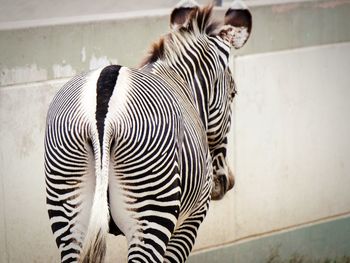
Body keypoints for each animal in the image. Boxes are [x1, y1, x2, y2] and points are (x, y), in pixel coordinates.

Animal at [44, 1, 252, 262]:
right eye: (233, 94)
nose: (228, 182)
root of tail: (104, 101)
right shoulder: (190, 221)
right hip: (153, 213)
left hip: (68, 209)